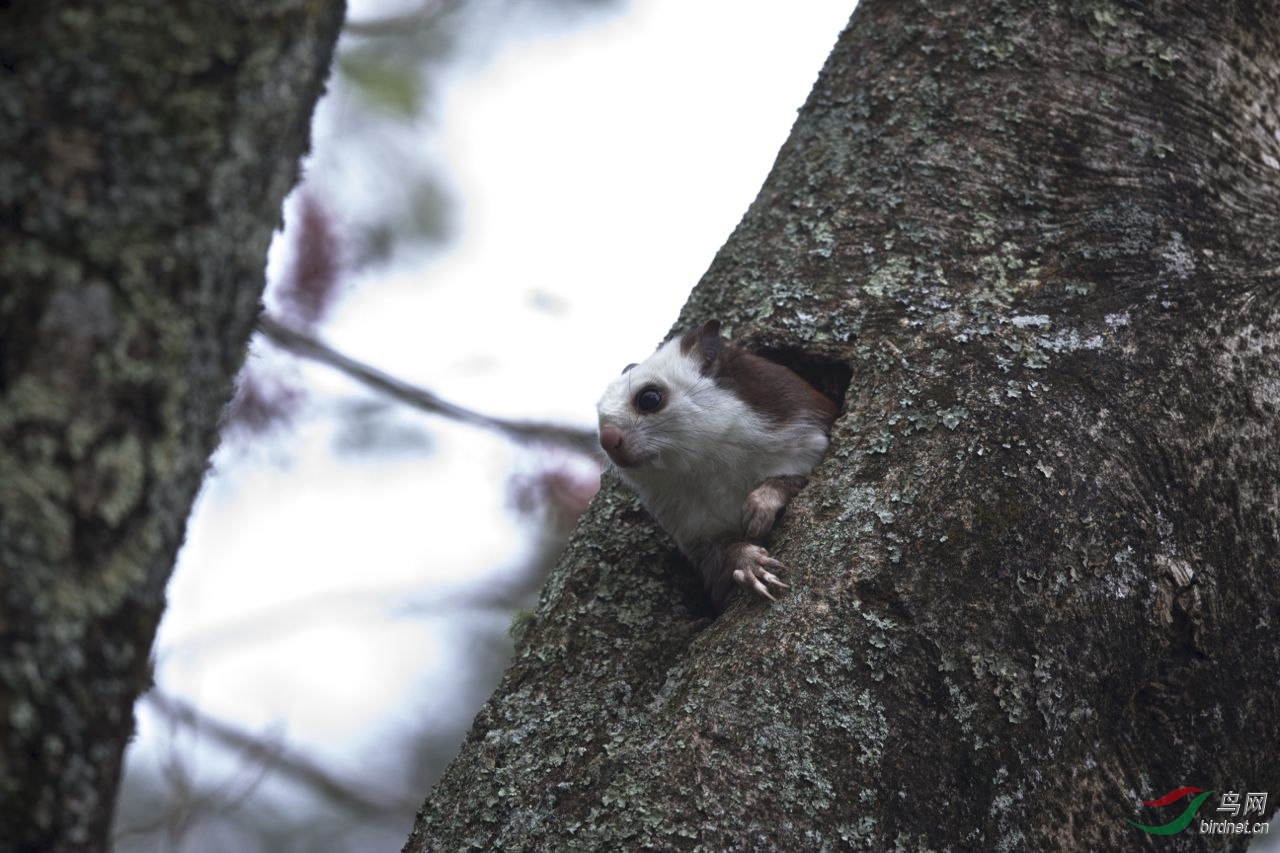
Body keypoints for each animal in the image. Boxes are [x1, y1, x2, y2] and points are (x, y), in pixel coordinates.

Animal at [596, 315, 839, 607]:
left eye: (650, 398)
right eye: (598, 414)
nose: (607, 441)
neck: (707, 462)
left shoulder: (807, 435)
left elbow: (795, 478)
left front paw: (761, 505)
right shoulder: (692, 529)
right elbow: (722, 555)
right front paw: (749, 563)